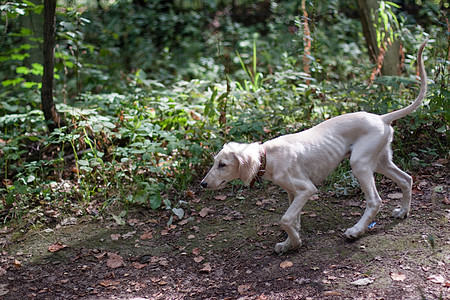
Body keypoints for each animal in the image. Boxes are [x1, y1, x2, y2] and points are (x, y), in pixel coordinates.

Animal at [201, 39, 428, 253]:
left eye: (222, 164)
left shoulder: (307, 189)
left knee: (375, 200)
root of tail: (381, 118)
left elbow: (285, 219)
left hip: (360, 163)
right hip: (380, 160)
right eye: (215, 162)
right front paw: (289, 243)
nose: (203, 184)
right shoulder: (293, 193)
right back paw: (403, 212)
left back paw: (356, 231)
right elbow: (293, 220)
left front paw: (294, 242)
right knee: (406, 179)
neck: (268, 156)